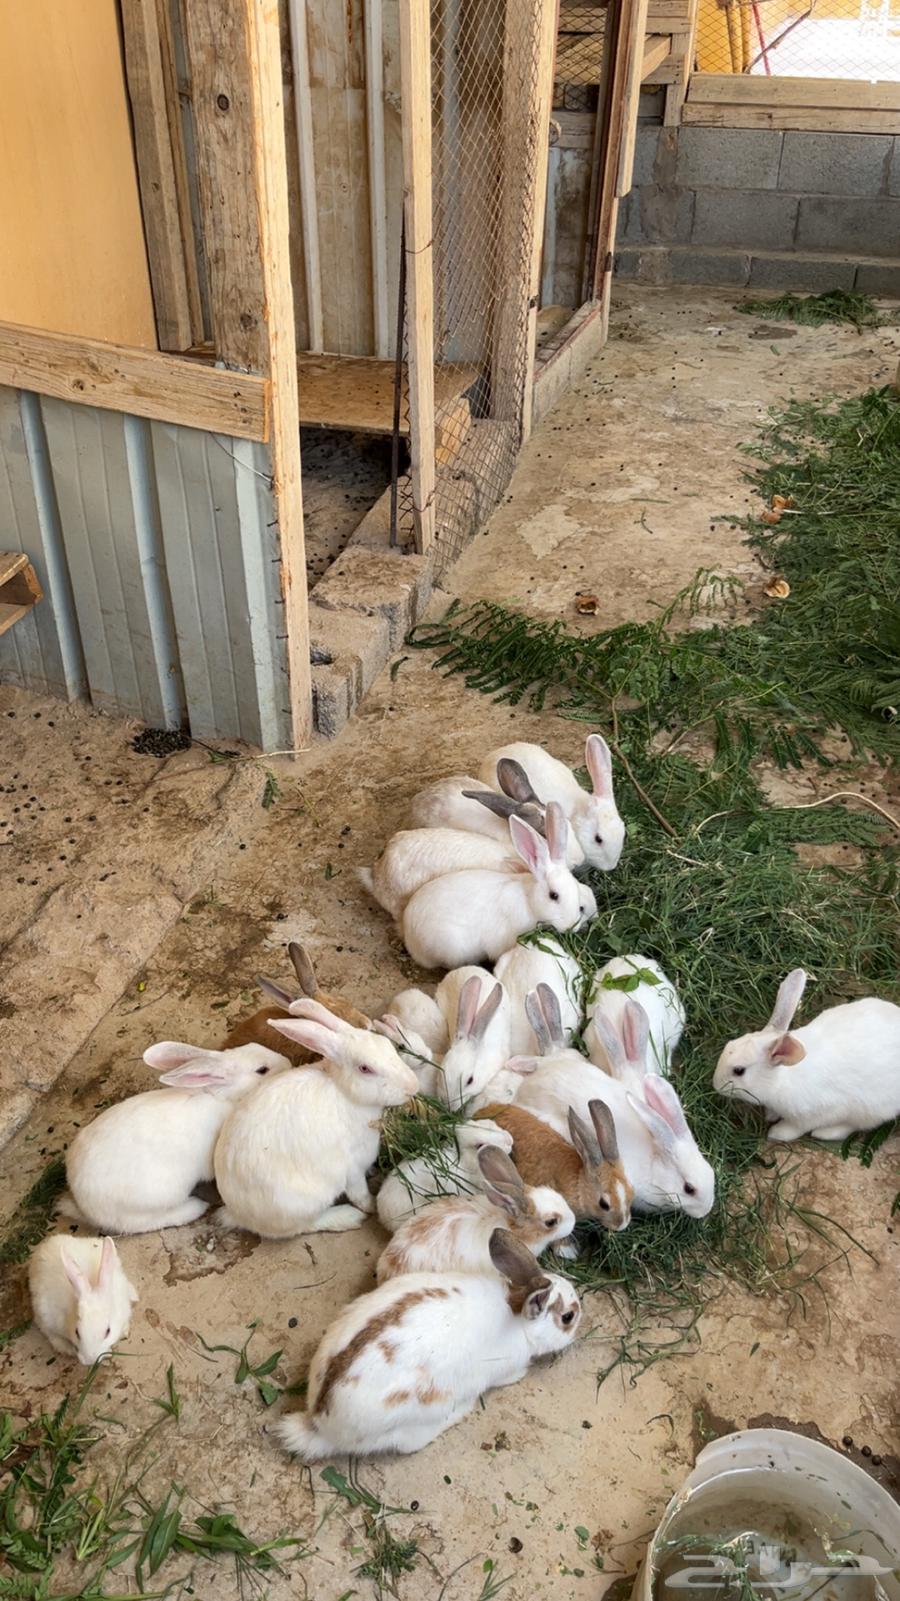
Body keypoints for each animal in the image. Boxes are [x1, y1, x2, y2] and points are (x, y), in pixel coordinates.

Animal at [60, 1042, 292, 1234]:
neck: (220, 1095)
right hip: (153, 1200)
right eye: (262, 1070)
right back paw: (195, 1208)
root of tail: (84, 1204)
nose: (288, 1063)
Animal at [213, 1001, 418, 1238]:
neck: (344, 1092)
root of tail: (238, 1213)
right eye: (365, 1068)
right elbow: (359, 1194)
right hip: (301, 1204)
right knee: (302, 1227)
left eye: (386, 1044)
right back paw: (347, 1217)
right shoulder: (353, 1167)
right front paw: (371, 1206)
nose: (413, 1086)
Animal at [271, 1227, 582, 1460]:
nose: (580, 1320)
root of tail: (320, 1425)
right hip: (413, 1421)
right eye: (568, 1316)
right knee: (410, 1444)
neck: (518, 1315)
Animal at [713, 968, 900, 1140]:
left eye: (739, 1070)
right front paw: (770, 1115)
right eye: (728, 1045)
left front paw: (776, 1133)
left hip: (872, 1110)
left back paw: (824, 1133)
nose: (716, 1085)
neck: (780, 1081)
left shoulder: (820, 1112)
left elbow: (796, 1127)